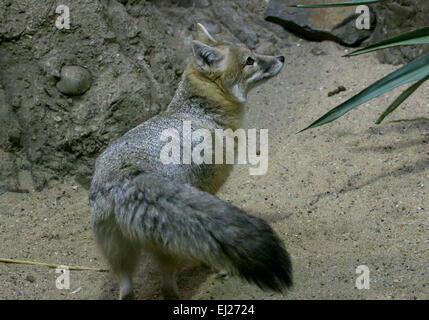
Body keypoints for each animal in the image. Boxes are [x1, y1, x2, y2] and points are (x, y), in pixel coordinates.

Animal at [89, 23, 292, 300]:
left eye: (253, 54)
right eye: (250, 60)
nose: (281, 57)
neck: (199, 112)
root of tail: (124, 177)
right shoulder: (207, 188)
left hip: (120, 257)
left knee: (128, 291)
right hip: (167, 249)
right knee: (167, 286)